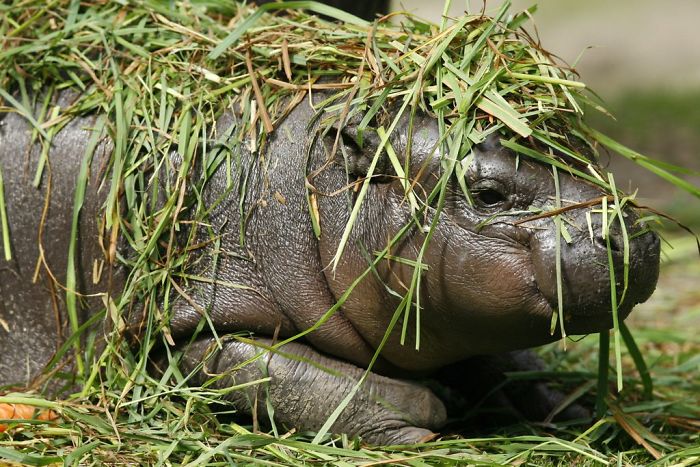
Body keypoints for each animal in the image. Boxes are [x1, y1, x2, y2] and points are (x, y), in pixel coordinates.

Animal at [0, 89, 660, 444]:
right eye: (489, 193)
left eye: (583, 149)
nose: (632, 234)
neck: (313, 194)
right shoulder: (191, 321)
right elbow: (306, 381)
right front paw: (426, 421)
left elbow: (508, 362)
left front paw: (575, 411)